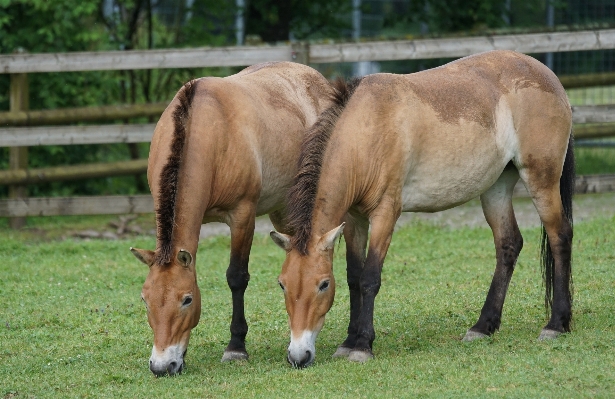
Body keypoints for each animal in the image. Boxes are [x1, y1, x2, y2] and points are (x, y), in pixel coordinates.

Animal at [127, 61, 334, 376]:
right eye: (145, 300)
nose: (162, 366)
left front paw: (236, 347)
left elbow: (237, 277)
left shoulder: (242, 216)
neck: (206, 130)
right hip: (285, 212)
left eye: (187, 300)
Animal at [272, 50, 576, 368]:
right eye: (282, 285)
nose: (298, 355)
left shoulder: (385, 214)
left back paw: (556, 324)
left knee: (560, 237)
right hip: (497, 188)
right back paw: (483, 326)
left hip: (541, 180)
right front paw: (348, 342)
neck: (367, 131)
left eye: (322, 285)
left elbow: (369, 278)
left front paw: (363, 345)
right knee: (508, 245)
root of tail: (547, 76)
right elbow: (354, 278)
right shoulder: (354, 220)